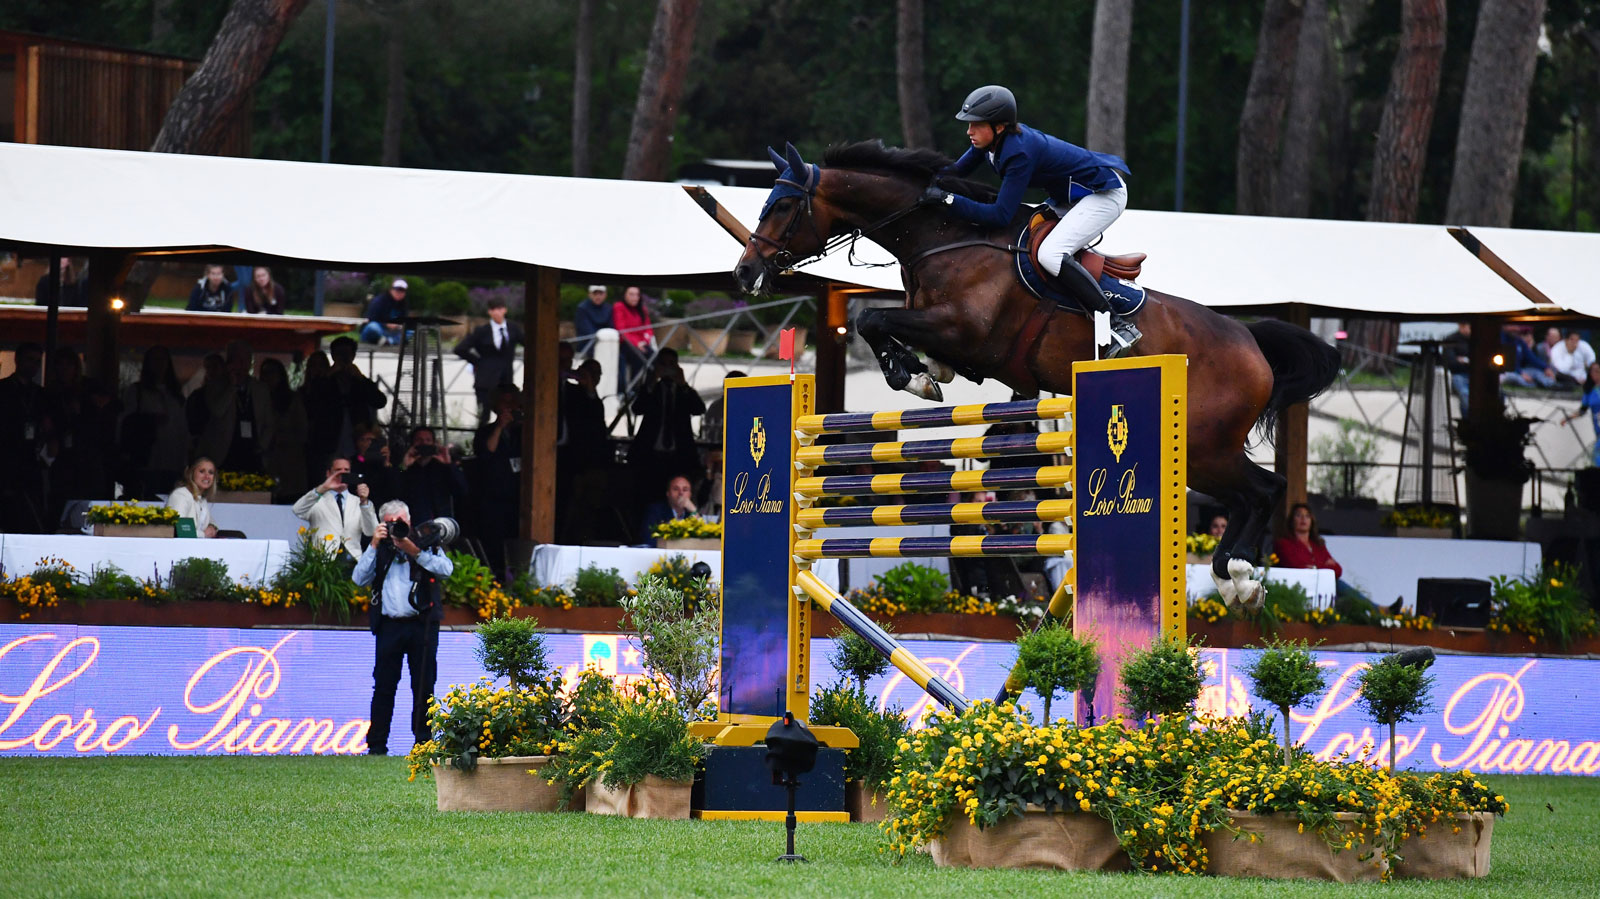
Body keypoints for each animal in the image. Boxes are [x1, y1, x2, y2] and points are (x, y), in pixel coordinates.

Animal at [729, 141, 1337, 607]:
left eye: (783, 206)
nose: (746, 273)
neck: (942, 236)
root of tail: (1251, 343)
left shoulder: (962, 327)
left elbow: (870, 317)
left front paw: (912, 375)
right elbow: (882, 325)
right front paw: (924, 371)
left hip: (1204, 448)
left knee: (1263, 490)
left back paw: (1238, 578)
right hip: (1204, 452)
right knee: (1249, 496)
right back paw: (1233, 577)